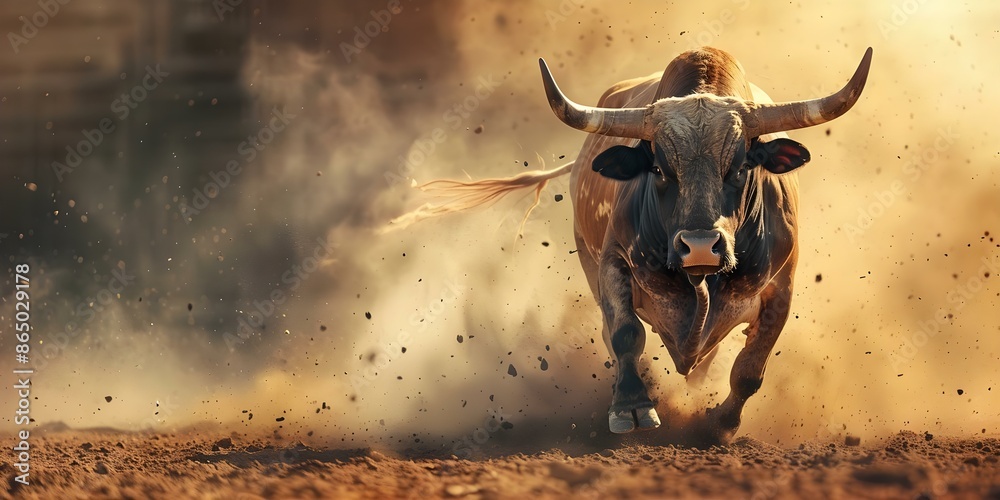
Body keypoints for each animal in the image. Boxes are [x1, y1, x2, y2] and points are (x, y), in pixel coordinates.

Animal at [393, 47, 871, 444]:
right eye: (658, 168)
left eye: (740, 168)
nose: (701, 247)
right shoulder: (612, 265)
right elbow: (625, 334)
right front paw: (632, 407)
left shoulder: (781, 289)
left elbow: (750, 370)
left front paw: (720, 425)